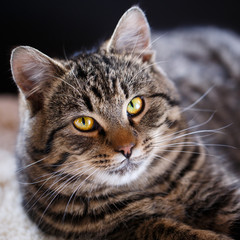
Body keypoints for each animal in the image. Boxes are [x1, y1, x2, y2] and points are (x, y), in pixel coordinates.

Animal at [9, 6, 240, 240]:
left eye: (134, 105)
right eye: (83, 122)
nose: (127, 148)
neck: (152, 189)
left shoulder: (223, 193)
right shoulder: (129, 228)